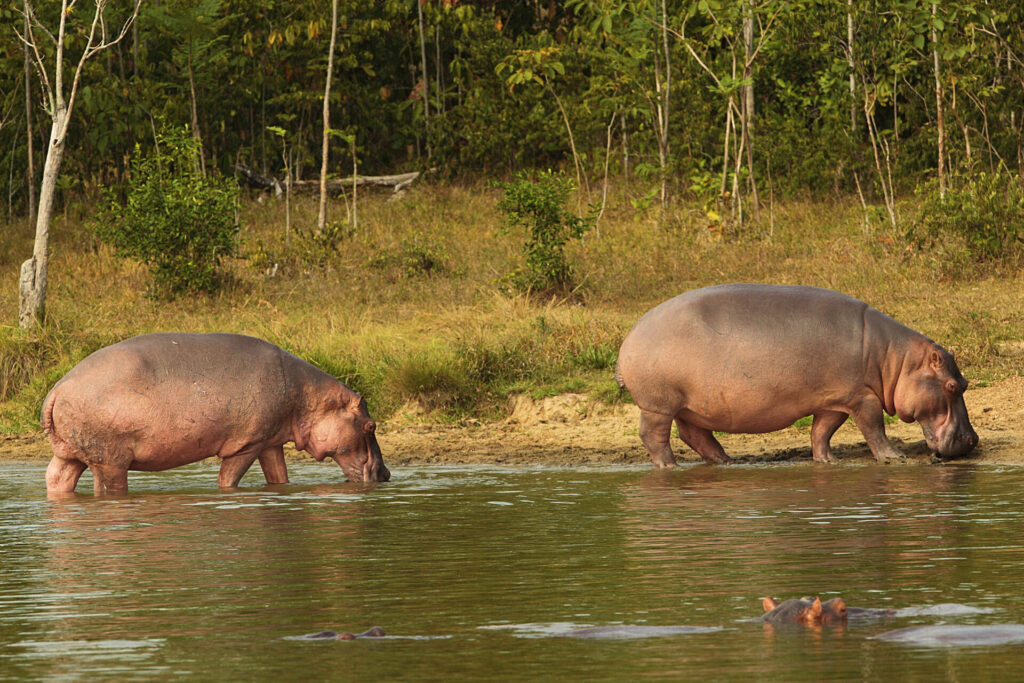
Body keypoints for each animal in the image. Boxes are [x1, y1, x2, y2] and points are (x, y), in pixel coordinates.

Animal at [41, 333, 389, 493]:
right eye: (371, 425)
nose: (386, 474)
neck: (309, 397)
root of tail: (58, 388)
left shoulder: (271, 441)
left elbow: (279, 476)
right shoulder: (247, 444)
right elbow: (228, 479)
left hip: (69, 453)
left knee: (57, 478)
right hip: (109, 461)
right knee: (107, 487)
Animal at [610, 282, 978, 464]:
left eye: (964, 382)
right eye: (951, 386)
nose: (973, 440)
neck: (895, 361)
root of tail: (630, 336)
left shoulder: (834, 399)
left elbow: (822, 431)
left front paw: (827, 461)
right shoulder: (862, 397)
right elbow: (874, 428)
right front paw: (895, 457)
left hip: (692, 405)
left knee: (695, 435)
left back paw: (726, 461)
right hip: (658, 404)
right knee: (654, 437)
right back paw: (670, 466)